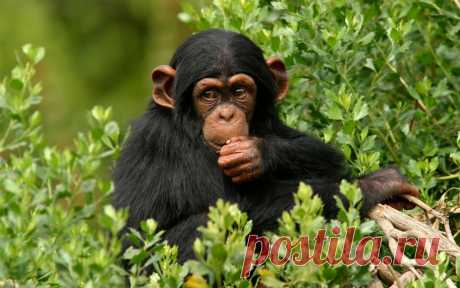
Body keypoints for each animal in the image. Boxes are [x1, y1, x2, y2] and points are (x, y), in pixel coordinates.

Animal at [112, 29, 420, 264]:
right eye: (209, 95)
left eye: (239, 91)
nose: (226, 115)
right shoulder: (166, 141)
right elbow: (231, 206)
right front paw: (376, 184)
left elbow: (325, 154)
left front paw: (257, 153)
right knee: (204, 227)